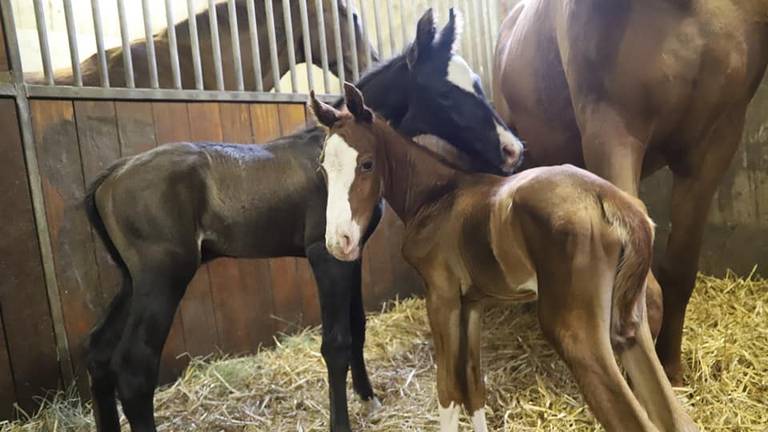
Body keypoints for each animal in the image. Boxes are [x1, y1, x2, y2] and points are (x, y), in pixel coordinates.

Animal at [308, 82, 696, 430]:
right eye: (323, 168)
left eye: (367, 164)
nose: (339, 242)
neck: (437, 195)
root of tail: (612, 200)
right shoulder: (472, 303)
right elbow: (473, 387)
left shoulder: (442, 296)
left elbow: (448, 391)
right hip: (630, 322)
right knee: (676, 418)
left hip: (576, 331)